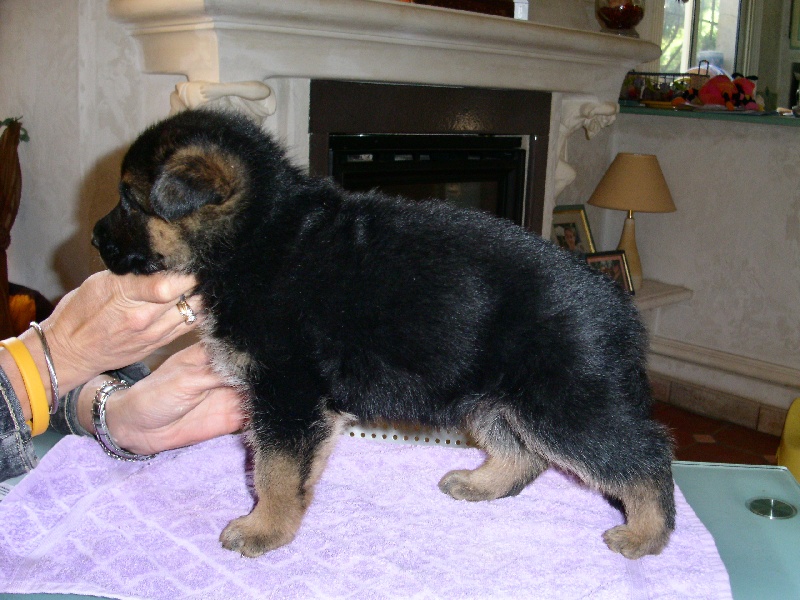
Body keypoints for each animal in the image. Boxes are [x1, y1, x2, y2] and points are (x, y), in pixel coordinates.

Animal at [92, 106, 676, 556]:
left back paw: (647, 534)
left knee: (646, 455)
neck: (260, 232)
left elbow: (275, 470)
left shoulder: (287, 392)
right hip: (494, 398)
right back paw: (482, 482)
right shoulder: (297, 401)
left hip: (565, 403)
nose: (95, 238)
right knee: (524, 452)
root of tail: (617, 305)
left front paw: (265, 529)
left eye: (128, 200)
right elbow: (294, 467)